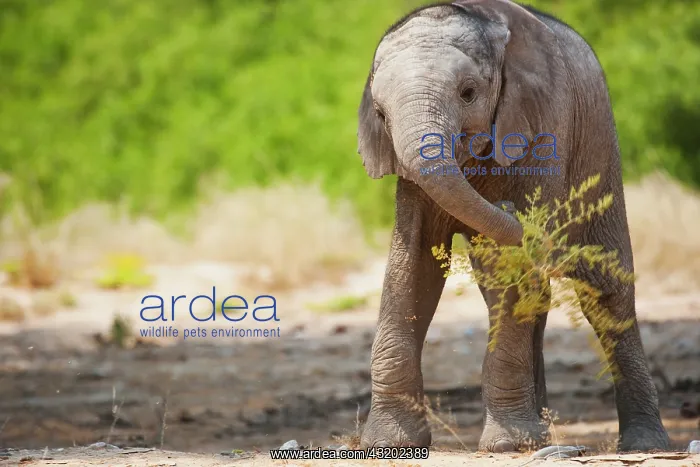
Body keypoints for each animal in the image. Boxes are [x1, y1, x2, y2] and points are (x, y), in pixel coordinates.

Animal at [356, 0, 671, 453]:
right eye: (380, 114)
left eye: (468, 92)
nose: (505, 207)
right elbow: (413, 268)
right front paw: (386, 444)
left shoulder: (542, 122)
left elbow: (516, 273)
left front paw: (507, 445)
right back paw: (543, 434)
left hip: (599, 142)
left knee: (605, 290)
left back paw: (643, 445)